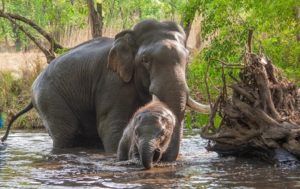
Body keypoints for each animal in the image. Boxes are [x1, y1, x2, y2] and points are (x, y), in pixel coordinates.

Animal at [1, 19, 210, 161]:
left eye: (187, 59)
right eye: (145, 60)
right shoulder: (112, 82)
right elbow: (111, 126)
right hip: (49, 98)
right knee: (66, 134)